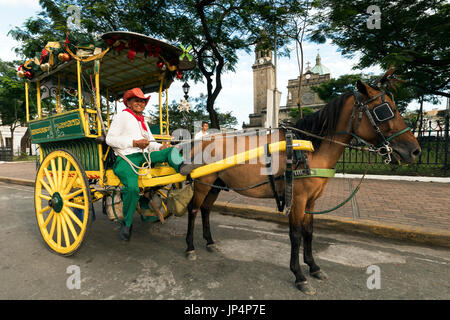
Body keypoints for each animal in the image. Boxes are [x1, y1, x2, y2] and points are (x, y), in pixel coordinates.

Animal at [184, 79, 422, 294]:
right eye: (384, 111)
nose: (415, 151)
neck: (310, 148)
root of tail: (201, 141)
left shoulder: (311, 200)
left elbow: (309, 232)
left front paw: (314, 267)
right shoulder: (297, 199)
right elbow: (296, 234)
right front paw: (299, 275)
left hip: (216, 184)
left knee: (205, 209)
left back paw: (210, 242)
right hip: (203, 183)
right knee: (193, 209)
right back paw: (190, 246)